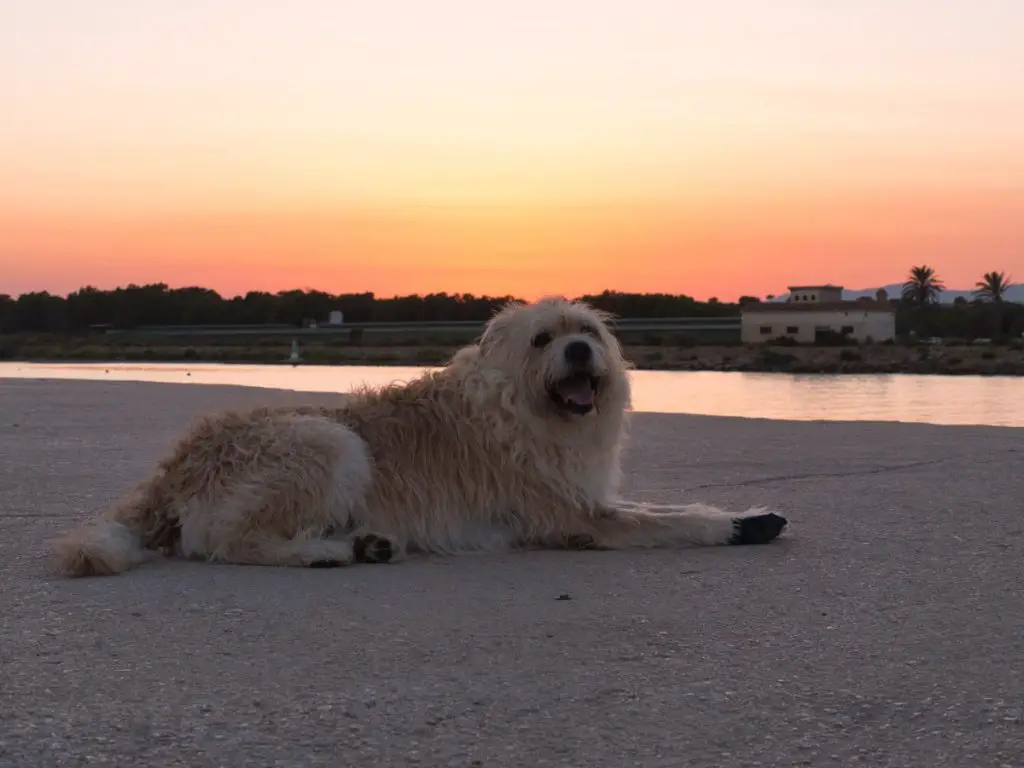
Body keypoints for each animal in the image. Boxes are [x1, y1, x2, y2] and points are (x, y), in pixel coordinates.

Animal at [51, 294, 786, 577]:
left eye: (588, 332)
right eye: (543, 339)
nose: (580, 352)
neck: (523, 407)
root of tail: (174, 465)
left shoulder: (587, 494)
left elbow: (663, 506)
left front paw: (750, 513)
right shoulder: (577, 517)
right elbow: (671, 521)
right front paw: (732, 527)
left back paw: (364, 543)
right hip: (328, 442)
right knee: (228, 543)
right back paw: (329, 553)